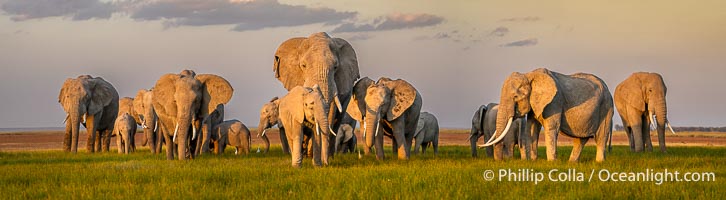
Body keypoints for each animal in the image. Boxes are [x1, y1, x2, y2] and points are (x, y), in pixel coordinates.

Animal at [484, 69, 616, 162]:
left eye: (515, 97)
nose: (501, 161)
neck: (529, 75)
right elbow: (532, 127)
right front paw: (533, 161)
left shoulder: (554, 102)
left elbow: (552, 127)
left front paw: (552, 162)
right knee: (581, 138)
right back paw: (572, 162)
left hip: (606, 106)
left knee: (601, 135)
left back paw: (599, 162)